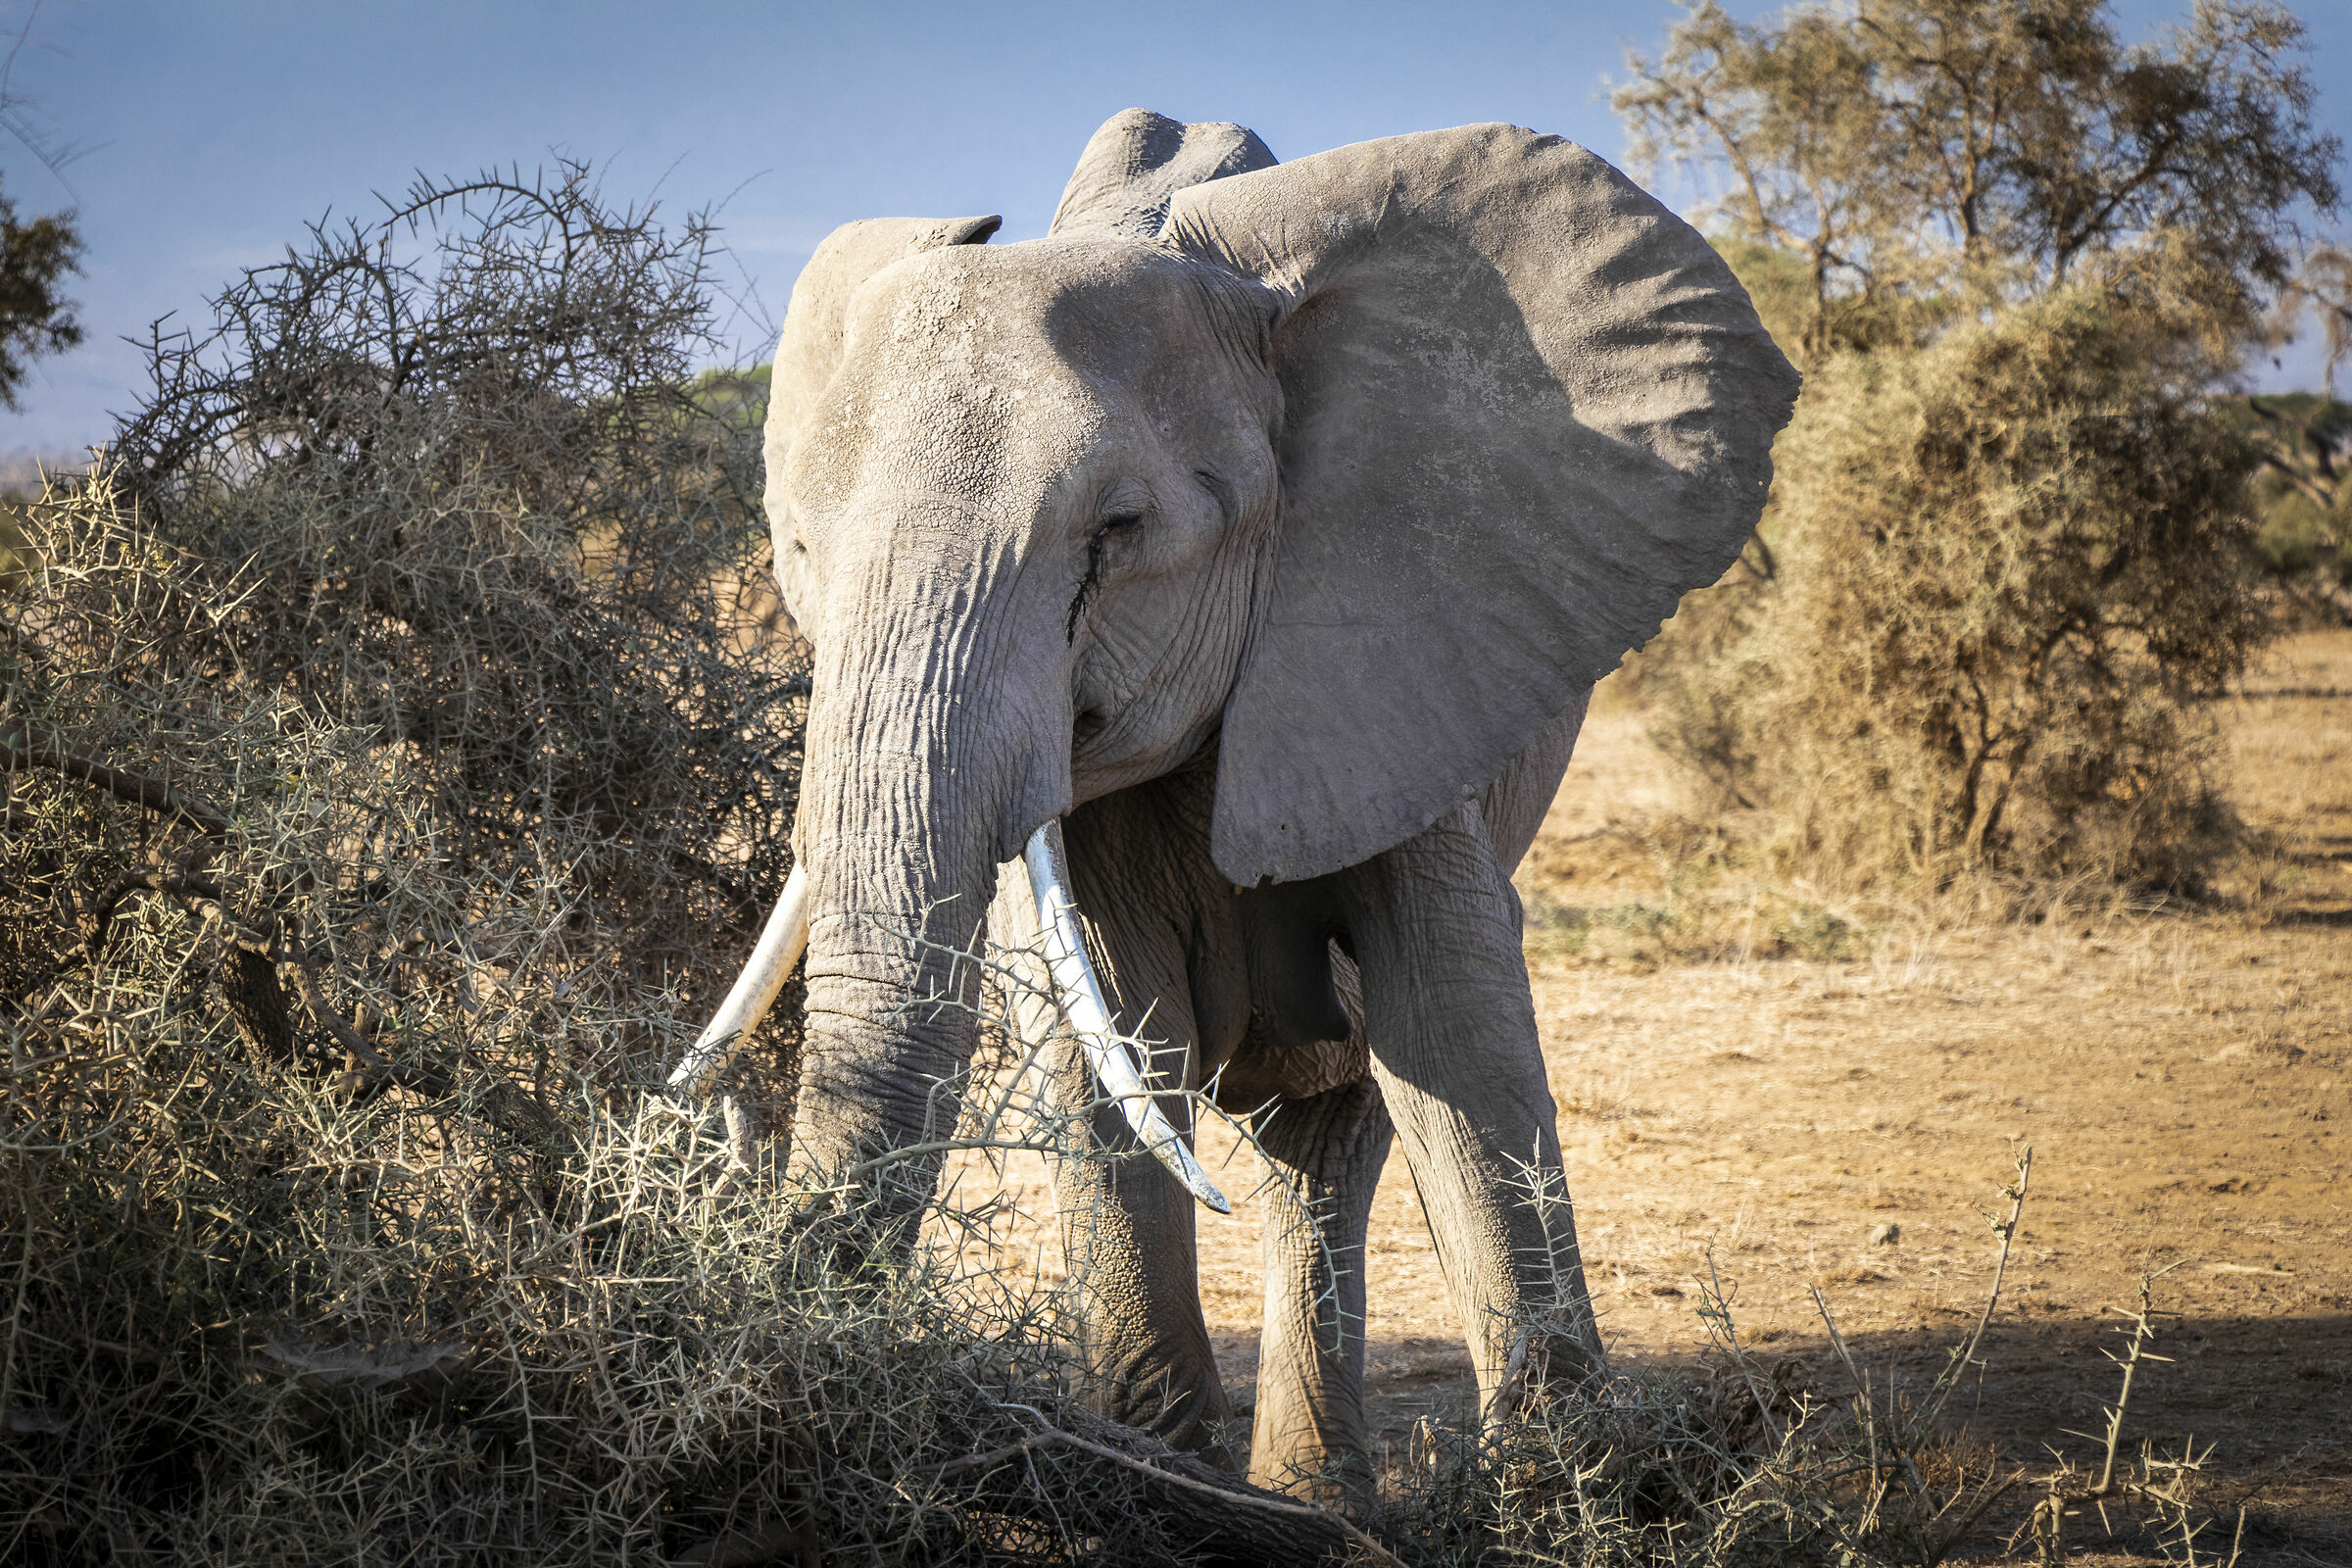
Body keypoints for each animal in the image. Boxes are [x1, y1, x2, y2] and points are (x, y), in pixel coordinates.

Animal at [679, 108, 1798, 1501]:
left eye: (1117, 529)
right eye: (799, 552)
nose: (716, 1141)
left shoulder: (1404, 645)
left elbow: (1454, 1022)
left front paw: (1566, 1497)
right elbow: (1105, 1039)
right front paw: (1155, 1477)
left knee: (1340, 1125)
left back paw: (1323, 1496)